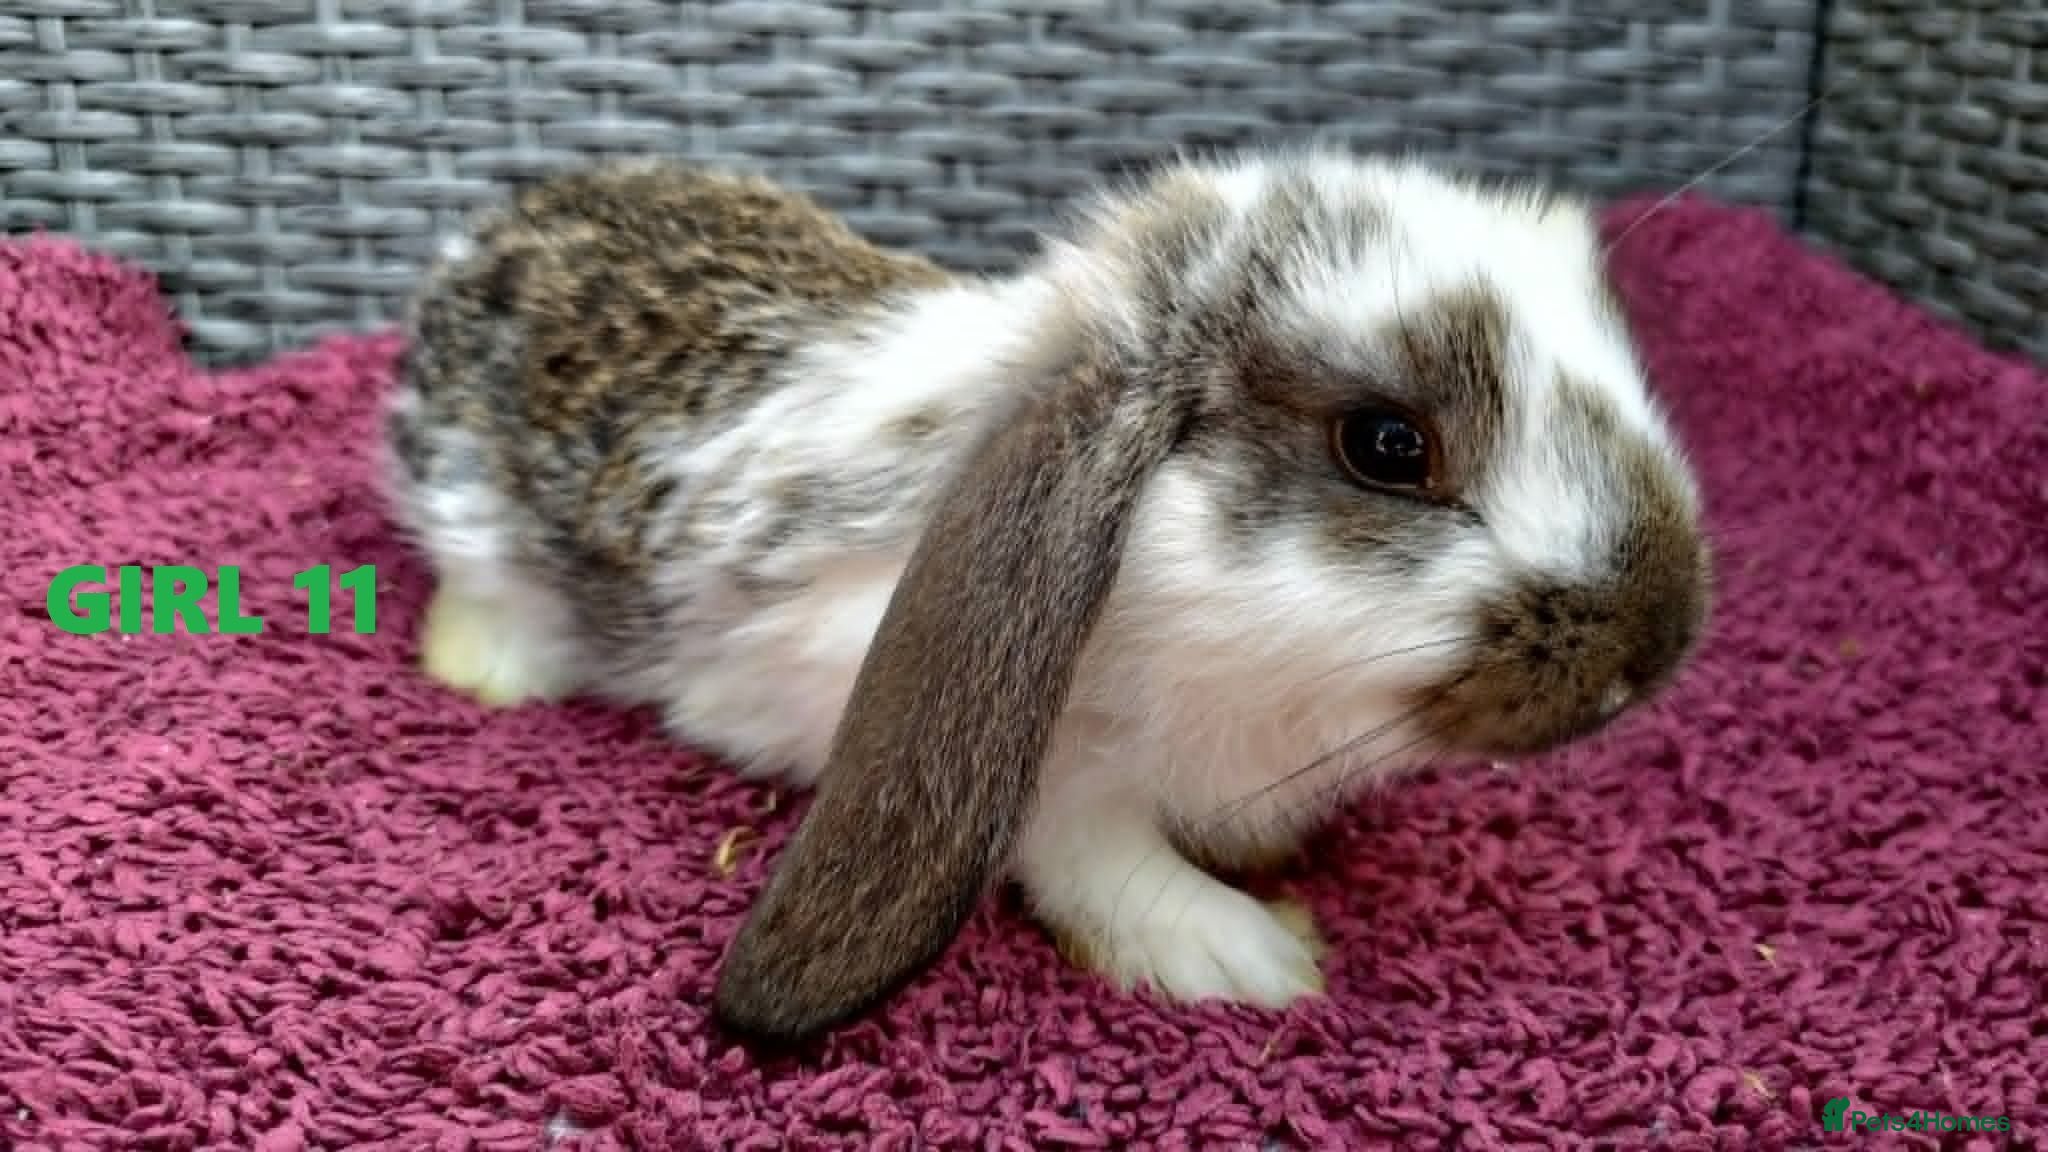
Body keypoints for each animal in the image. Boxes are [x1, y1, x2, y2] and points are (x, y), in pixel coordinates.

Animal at [380, 146, 1713, 1044]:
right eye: (1386, 445)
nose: (1652, 649)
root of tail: (482, 240)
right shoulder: (1041, 773)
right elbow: (1094, 857)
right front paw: (1244, 950)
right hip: (478, 528)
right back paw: (487, 674)